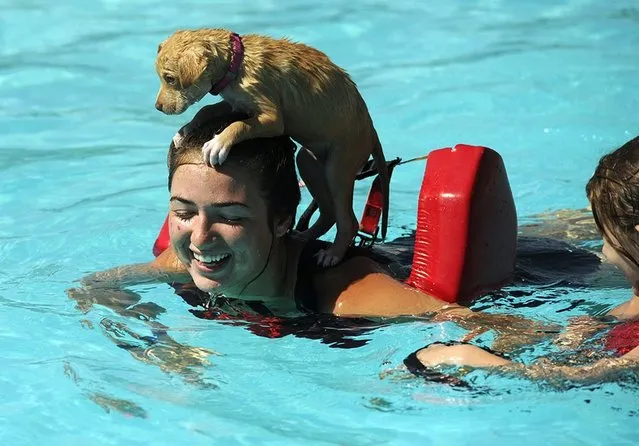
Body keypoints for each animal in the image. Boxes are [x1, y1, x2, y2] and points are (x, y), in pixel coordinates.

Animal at [158, 29, 392, 266]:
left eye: (170, 78)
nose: (158, 107)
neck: (236, 63)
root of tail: (372, 131)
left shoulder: (271, 118)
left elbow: (240, 125)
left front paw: (218, 143)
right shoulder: (238, 104)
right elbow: (208, 109)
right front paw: (187, 129)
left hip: (339, 167)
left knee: (347, 220)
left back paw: (333, 253)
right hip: (309, 162)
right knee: (328, 212)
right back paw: (305, 236)